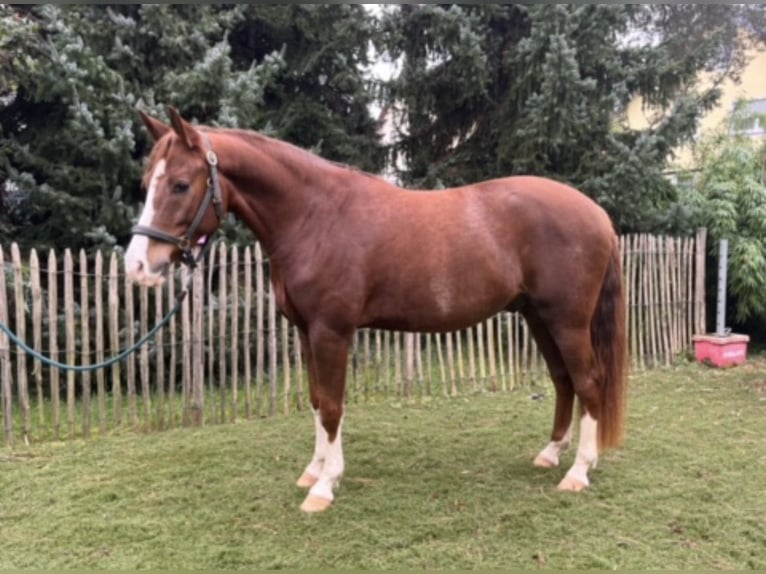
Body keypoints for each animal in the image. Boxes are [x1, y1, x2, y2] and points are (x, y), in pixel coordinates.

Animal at [125, 108, 627, 513]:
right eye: (146, 183)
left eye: (181, 184)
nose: (137, 266)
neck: (315, 217)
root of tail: (597, 214)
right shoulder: (307, 332)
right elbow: (316, 401)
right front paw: (316, 470)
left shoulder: (332, 331)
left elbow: (332, 405)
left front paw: (324, 488)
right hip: (537, 317)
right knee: (563, 381)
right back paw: (550, 454)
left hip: (567, 320)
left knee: (588, 381)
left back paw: (578, 472)